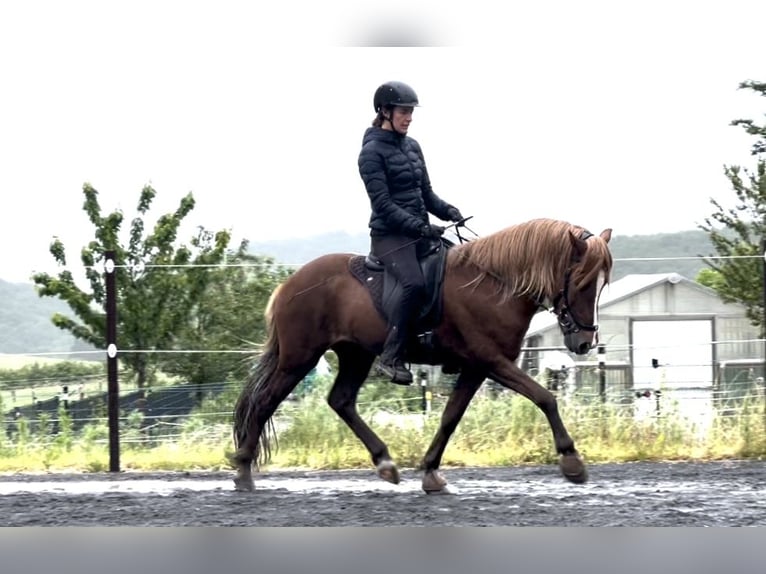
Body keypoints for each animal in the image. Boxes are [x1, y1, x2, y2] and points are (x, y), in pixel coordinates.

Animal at [231, 216, 616, 496]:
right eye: (582, 283)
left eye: (602, 284)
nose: (585, 342)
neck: (494, 286)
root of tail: (288, 285)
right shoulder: (492, 362)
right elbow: (545, 397)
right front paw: (572, 462)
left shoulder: (475, 368)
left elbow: (449, 417)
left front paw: (431, 472)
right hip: (300, 358)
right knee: (265, 402)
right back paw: (243, 471)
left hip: (356, 354)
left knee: (340, 400)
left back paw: (384, 463)